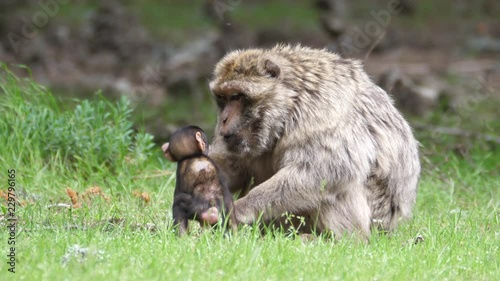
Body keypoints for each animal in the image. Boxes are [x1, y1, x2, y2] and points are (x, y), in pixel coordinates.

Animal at [209, 44, 420, 236]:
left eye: (236, 96)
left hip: (376, 219)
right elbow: (234, 167)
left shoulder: (322, 110)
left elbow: (325, 170)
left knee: (338, 182)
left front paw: (239, 210)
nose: (223, 119)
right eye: (222, 98)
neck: (290, 108)